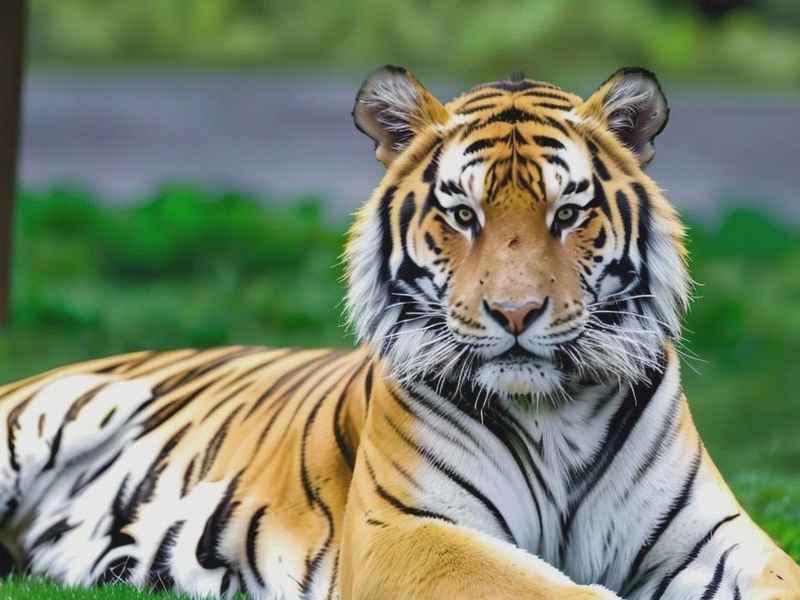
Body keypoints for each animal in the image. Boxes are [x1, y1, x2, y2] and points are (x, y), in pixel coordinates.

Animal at [0, 65, 798, 600]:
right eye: (462, 215)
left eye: (568, 214)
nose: (515, 313)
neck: (556, 415)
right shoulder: (413, 533)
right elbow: (551, 589)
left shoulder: (718, 538)